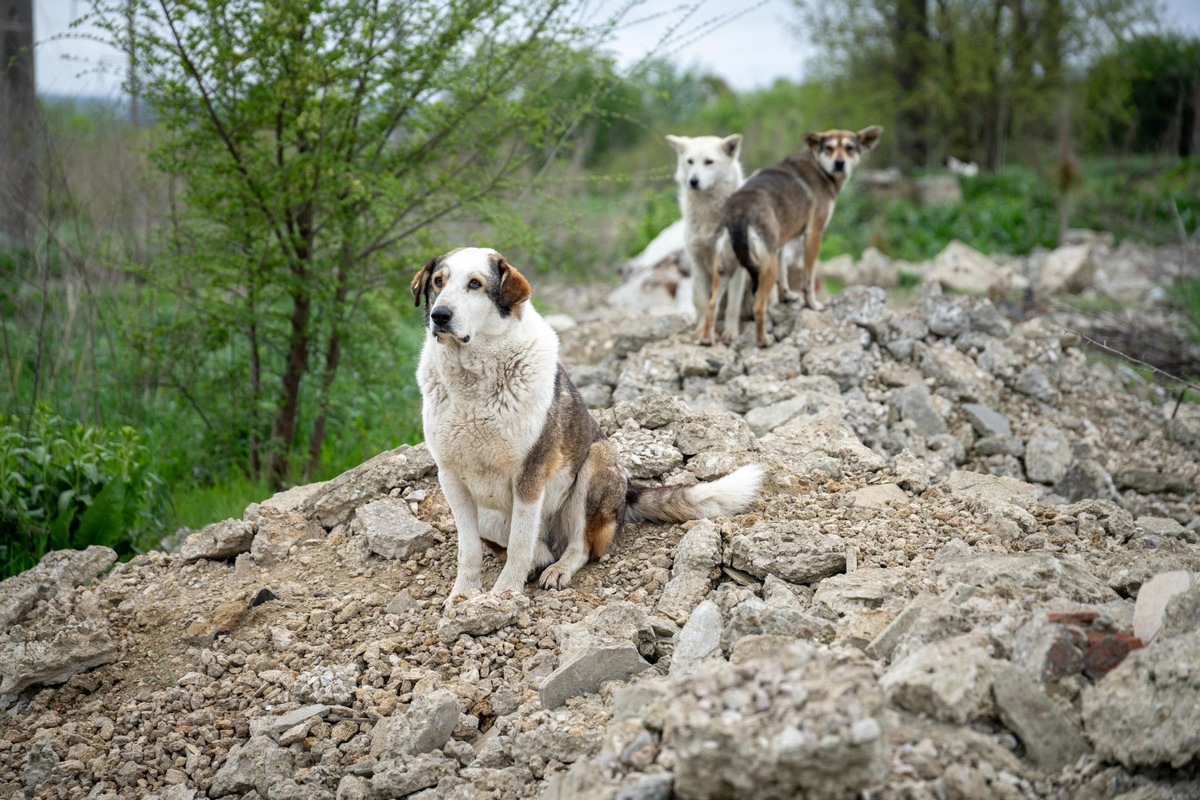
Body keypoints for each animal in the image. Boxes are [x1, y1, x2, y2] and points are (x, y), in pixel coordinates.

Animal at [412, 245, 763, 606]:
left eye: (475, 284)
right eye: (438, 282)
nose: (440, 315)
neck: (473, 380)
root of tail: (627, 492)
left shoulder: (530, 474)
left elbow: (521, 542)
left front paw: (506, 593)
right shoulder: (451, 478)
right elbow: (468, 550)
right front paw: (462, 594)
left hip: (595, 463)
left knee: (579, 546)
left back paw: (557, 569)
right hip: (489, 514)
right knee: (528, 547)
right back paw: (539, 560)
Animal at [700, 125, 883, 347]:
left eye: (849, 148)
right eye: (829, 148)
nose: (839, 163)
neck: (818, 165)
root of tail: (738, 212)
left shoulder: (780, 243)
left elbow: (783, 274)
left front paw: (787, 296)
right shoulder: (813, 234)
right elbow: (808, 278)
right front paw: (813, 305)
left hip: (725, 269)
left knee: (711, 305)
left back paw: (707, 339)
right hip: (764, 268)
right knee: (758, 306)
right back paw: (764, 340)